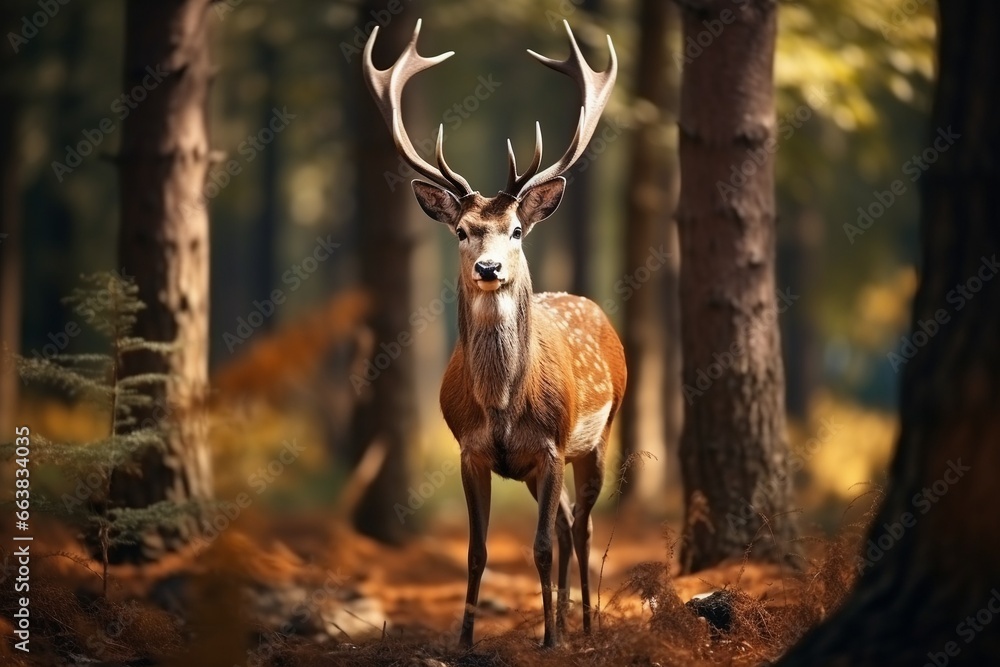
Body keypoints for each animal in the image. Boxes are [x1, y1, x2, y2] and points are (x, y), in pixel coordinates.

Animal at [363, 19, 625, 648]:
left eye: (516, 231)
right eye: (461, 230)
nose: (489, 268)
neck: (504, 404)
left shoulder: (552, 446)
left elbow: (540, 545)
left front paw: (551, 640)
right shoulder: (471, 450)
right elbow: (478, 551)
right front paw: (464, 640)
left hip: (600, 434)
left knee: (581, 526)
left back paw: (582, 626)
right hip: (538, 469)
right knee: (565, 522)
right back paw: (563, 617)